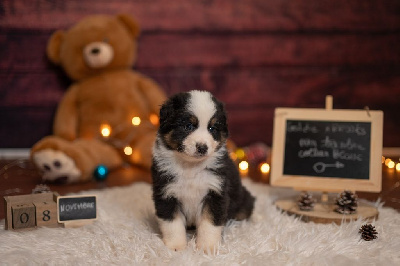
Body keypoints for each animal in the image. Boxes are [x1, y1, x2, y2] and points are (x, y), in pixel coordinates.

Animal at [152, 89, 255, 251]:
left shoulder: (215, 192)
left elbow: (210, 223)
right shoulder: (165, 193)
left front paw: (208, 247)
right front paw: (176, 246)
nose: (202, 147)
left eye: (212, 128)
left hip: (242, 199)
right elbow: (172, 224)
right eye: (188, 126)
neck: (190, 166)